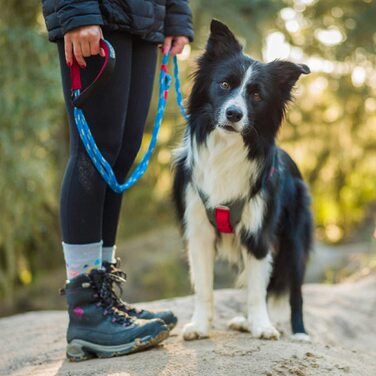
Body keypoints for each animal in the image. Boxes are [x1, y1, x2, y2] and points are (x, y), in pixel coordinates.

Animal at [172, 21, 312, 344]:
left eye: (257, 95)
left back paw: (298, 333)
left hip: (295, 240)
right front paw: (199, 325)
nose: (234, 114)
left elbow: (258, 290)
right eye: (224, 85)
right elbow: (204, 287)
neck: (227, 146)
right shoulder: (198, 230)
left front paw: (262, 326)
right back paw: (244, 323)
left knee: (294, 291)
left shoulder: (259, 232)